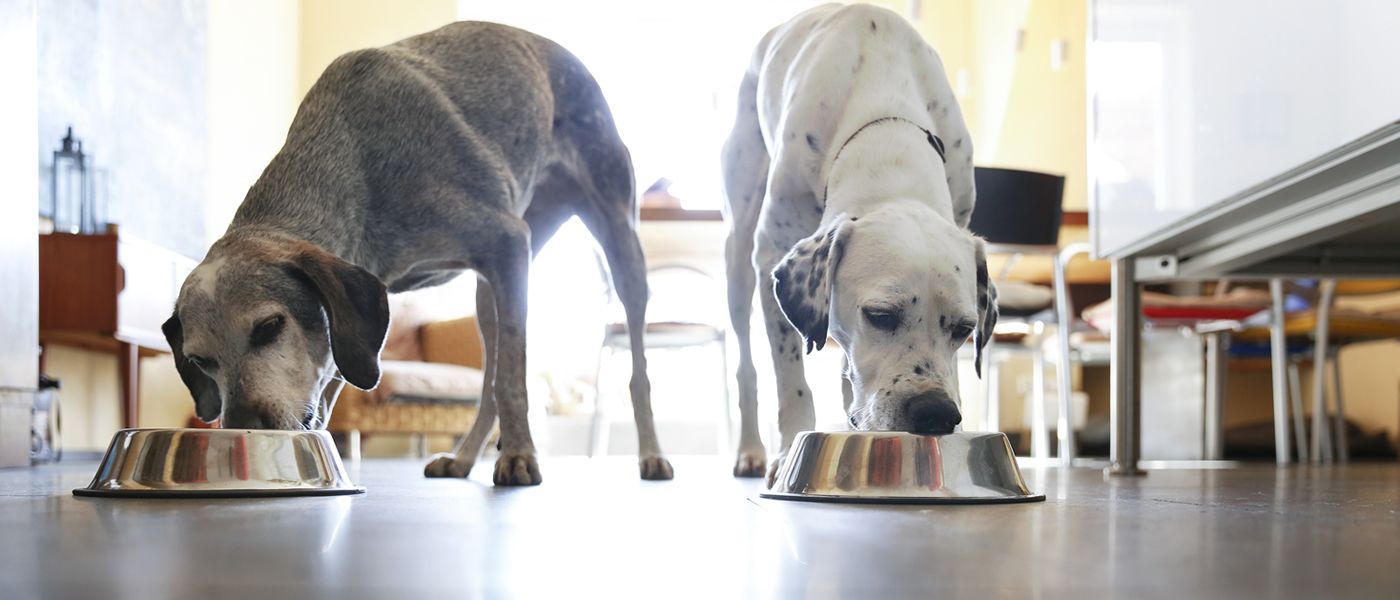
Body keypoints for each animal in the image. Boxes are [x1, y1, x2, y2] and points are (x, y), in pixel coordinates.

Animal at [722, 3, 996, 481]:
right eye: (880, 316)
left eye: (964, 329)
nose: (936, 414)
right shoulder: (772, 252)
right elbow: (790, 378)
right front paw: (787, 452)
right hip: (739, 256)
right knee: (746, 367)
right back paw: (752, 449)